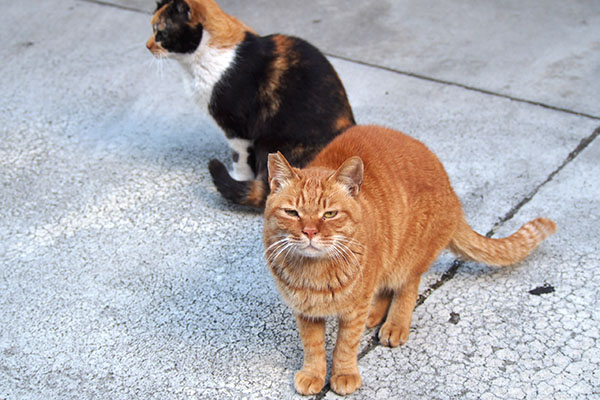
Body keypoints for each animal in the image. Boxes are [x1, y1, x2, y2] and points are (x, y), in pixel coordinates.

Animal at [146, 0, 356, 206]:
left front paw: (239, 176)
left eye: (160, 32)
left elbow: (238, 156)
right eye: (153, 29)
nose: (147, 46)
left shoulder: (236, 126)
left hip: (270, 140)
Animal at [264, 126, 556, 396]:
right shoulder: (306, 312)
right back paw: (375, 314)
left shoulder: (355, 306)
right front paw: (314, 374)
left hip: (407, 260)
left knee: (407, 288)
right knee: (384, 288)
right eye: (292, 212)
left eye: (329, 214)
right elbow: (313, 347)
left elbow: (346, 344)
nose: (310, 232)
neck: (315, 272)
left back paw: (395, 324)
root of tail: (453, 195)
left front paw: (344, 374)